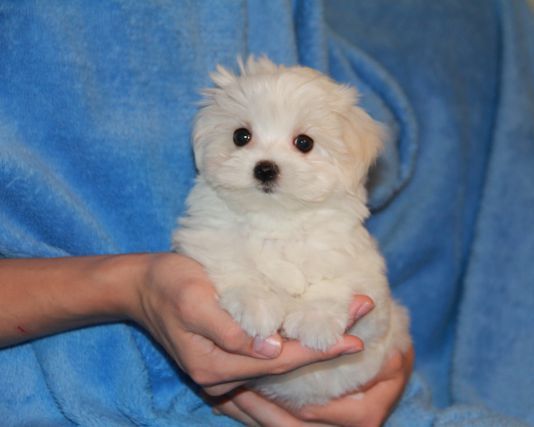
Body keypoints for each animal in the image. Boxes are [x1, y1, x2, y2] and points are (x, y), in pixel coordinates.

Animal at [174, 56, 412, 408]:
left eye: (304, 143)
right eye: (241, 136)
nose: (265, 168)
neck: (277, 220)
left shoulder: (360, 269)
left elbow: (334, 282)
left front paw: (316, 320)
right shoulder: (209, 240)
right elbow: (237, 265)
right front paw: (257, 304)